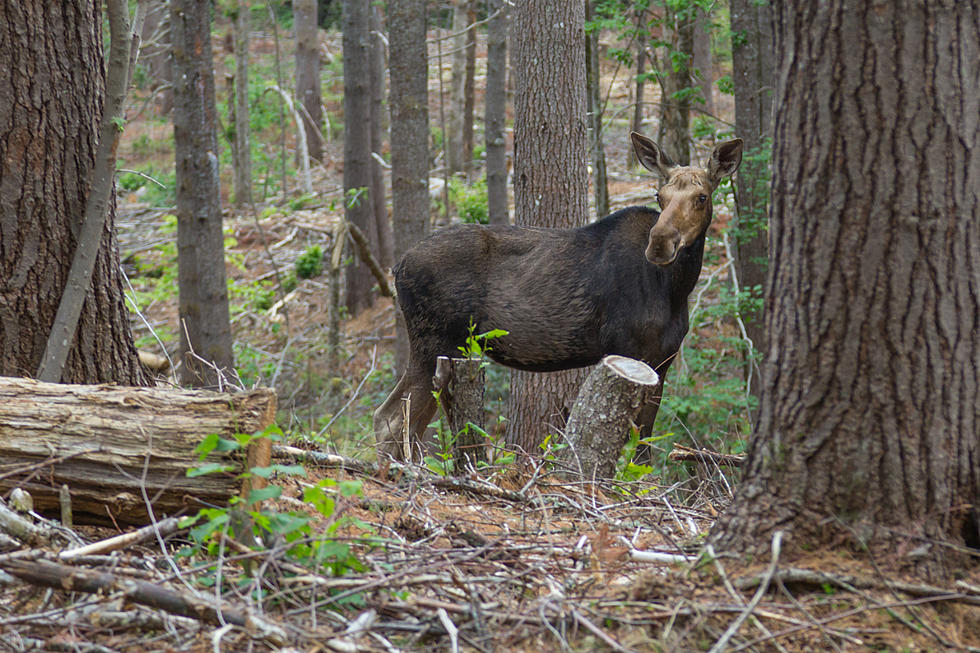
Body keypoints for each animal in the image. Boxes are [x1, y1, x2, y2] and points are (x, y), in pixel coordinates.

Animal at [376, 132, 744, 458]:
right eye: (659, 196)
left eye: (702, 197)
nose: (660, 243)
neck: (675, 289)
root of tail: (397, 267)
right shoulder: (623, 347)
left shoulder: (662, 361)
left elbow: (642, 449)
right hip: (435, 342)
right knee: (392, 420)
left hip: (440, 350)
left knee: (395, 417)